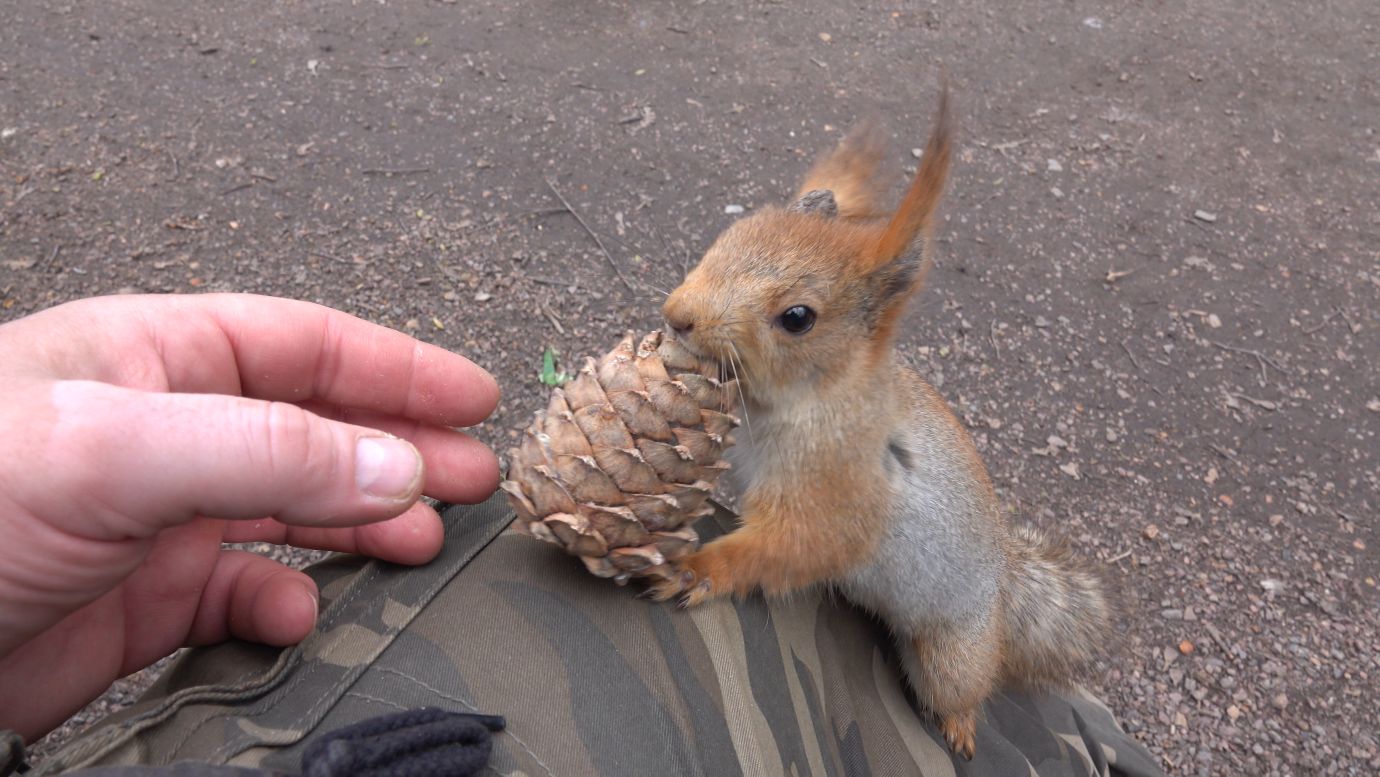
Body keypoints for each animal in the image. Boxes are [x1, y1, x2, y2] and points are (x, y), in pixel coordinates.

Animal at [650, 87, 1110, 759]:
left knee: (966, 688)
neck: (801, 400)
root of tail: (1002, 582)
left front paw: (697, 570)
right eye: (728, 236)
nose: (677, 314)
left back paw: (960, 725)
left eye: (797, 317)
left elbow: (794, 547)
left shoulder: (837, 492)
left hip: (951, 657)